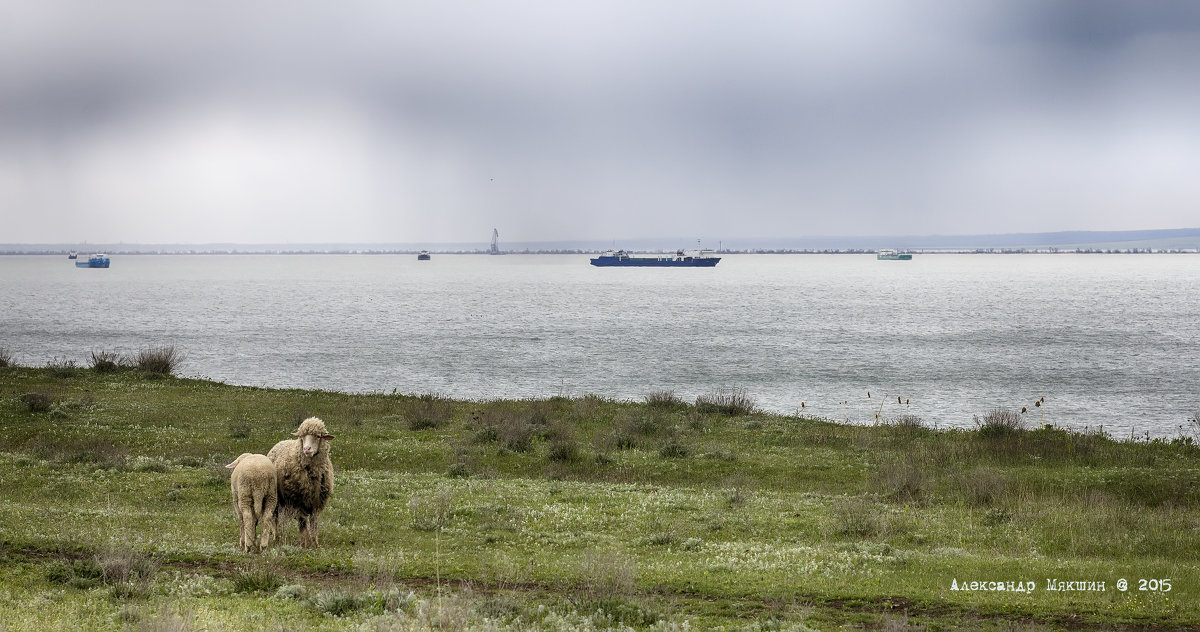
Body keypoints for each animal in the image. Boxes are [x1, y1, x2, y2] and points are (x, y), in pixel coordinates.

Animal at [266, 417, 333, 546]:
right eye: (302, 437)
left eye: (318, 436)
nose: (306, 449)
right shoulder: (298, 501)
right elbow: (302, 523)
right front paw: (304, 543)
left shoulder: (316, 503)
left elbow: (313, 524)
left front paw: (314, 543)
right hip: (275, 497)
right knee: (275, 518)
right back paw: (276, 537)